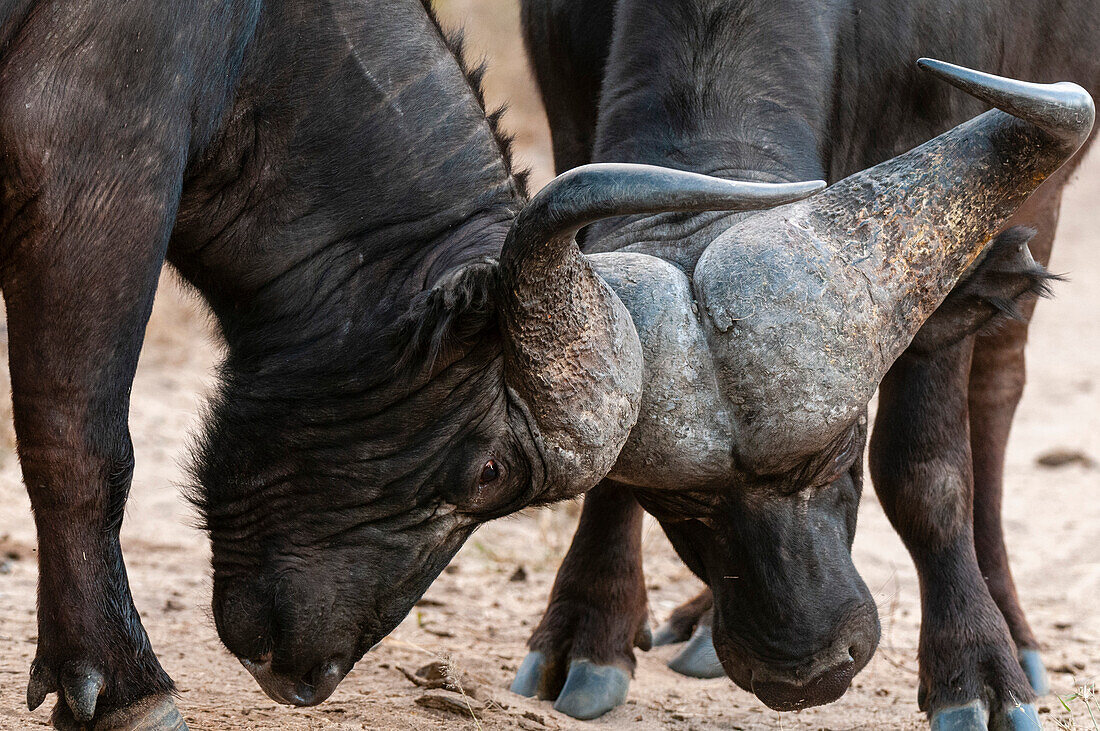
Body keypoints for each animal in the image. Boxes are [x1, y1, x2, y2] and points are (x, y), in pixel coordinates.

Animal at [0, 0, 818, 725]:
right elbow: (81, 443)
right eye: (488, 472)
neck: (264, 37)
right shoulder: (89, 174)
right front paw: (122, 686)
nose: (312, 675)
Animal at [514, 2, 1100, 725]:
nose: (805, 673)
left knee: (996, 389)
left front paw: (977, 671)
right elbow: (605, 452)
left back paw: (1016, 635)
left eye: (839, 452)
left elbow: (926, 473)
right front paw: (585, 629)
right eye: (678, 501)